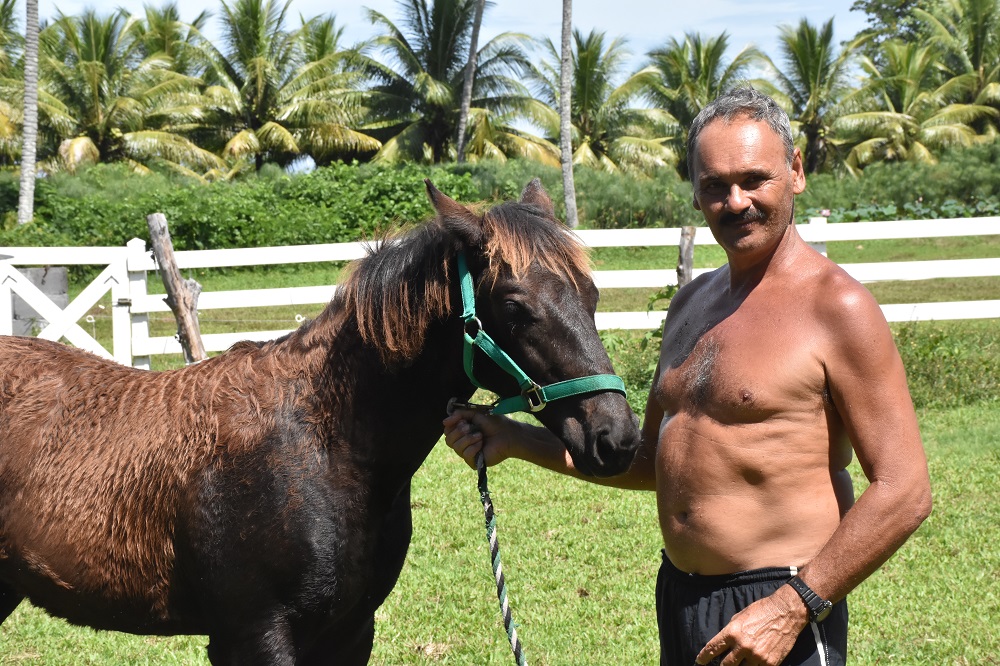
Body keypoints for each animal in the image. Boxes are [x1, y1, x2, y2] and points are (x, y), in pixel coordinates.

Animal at [0, 179, 640, 664]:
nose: (616, 437)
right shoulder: (253, 637)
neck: (323, 447)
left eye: (592, 294)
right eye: (514, 306)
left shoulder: (350, 632)